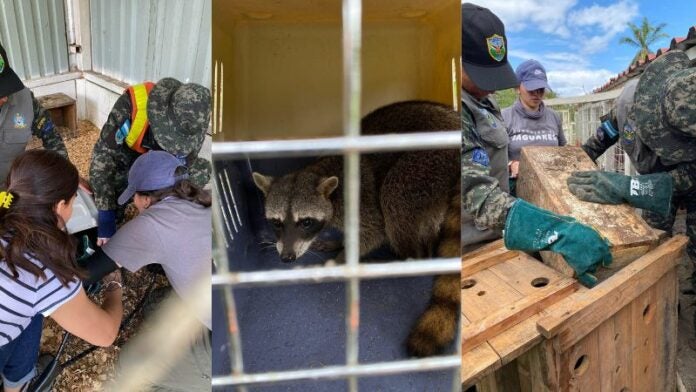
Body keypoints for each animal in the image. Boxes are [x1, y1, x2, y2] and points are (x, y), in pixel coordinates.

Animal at [253, 99, 460, 356]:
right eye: (277, 222)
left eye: (306, 222)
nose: (287, 258)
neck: (320, 174)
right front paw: (339, 243)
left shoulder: (359, 198)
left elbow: (374, 231)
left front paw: (341, 260)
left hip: (427, 164)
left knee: (395, 196)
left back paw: (405, 258)